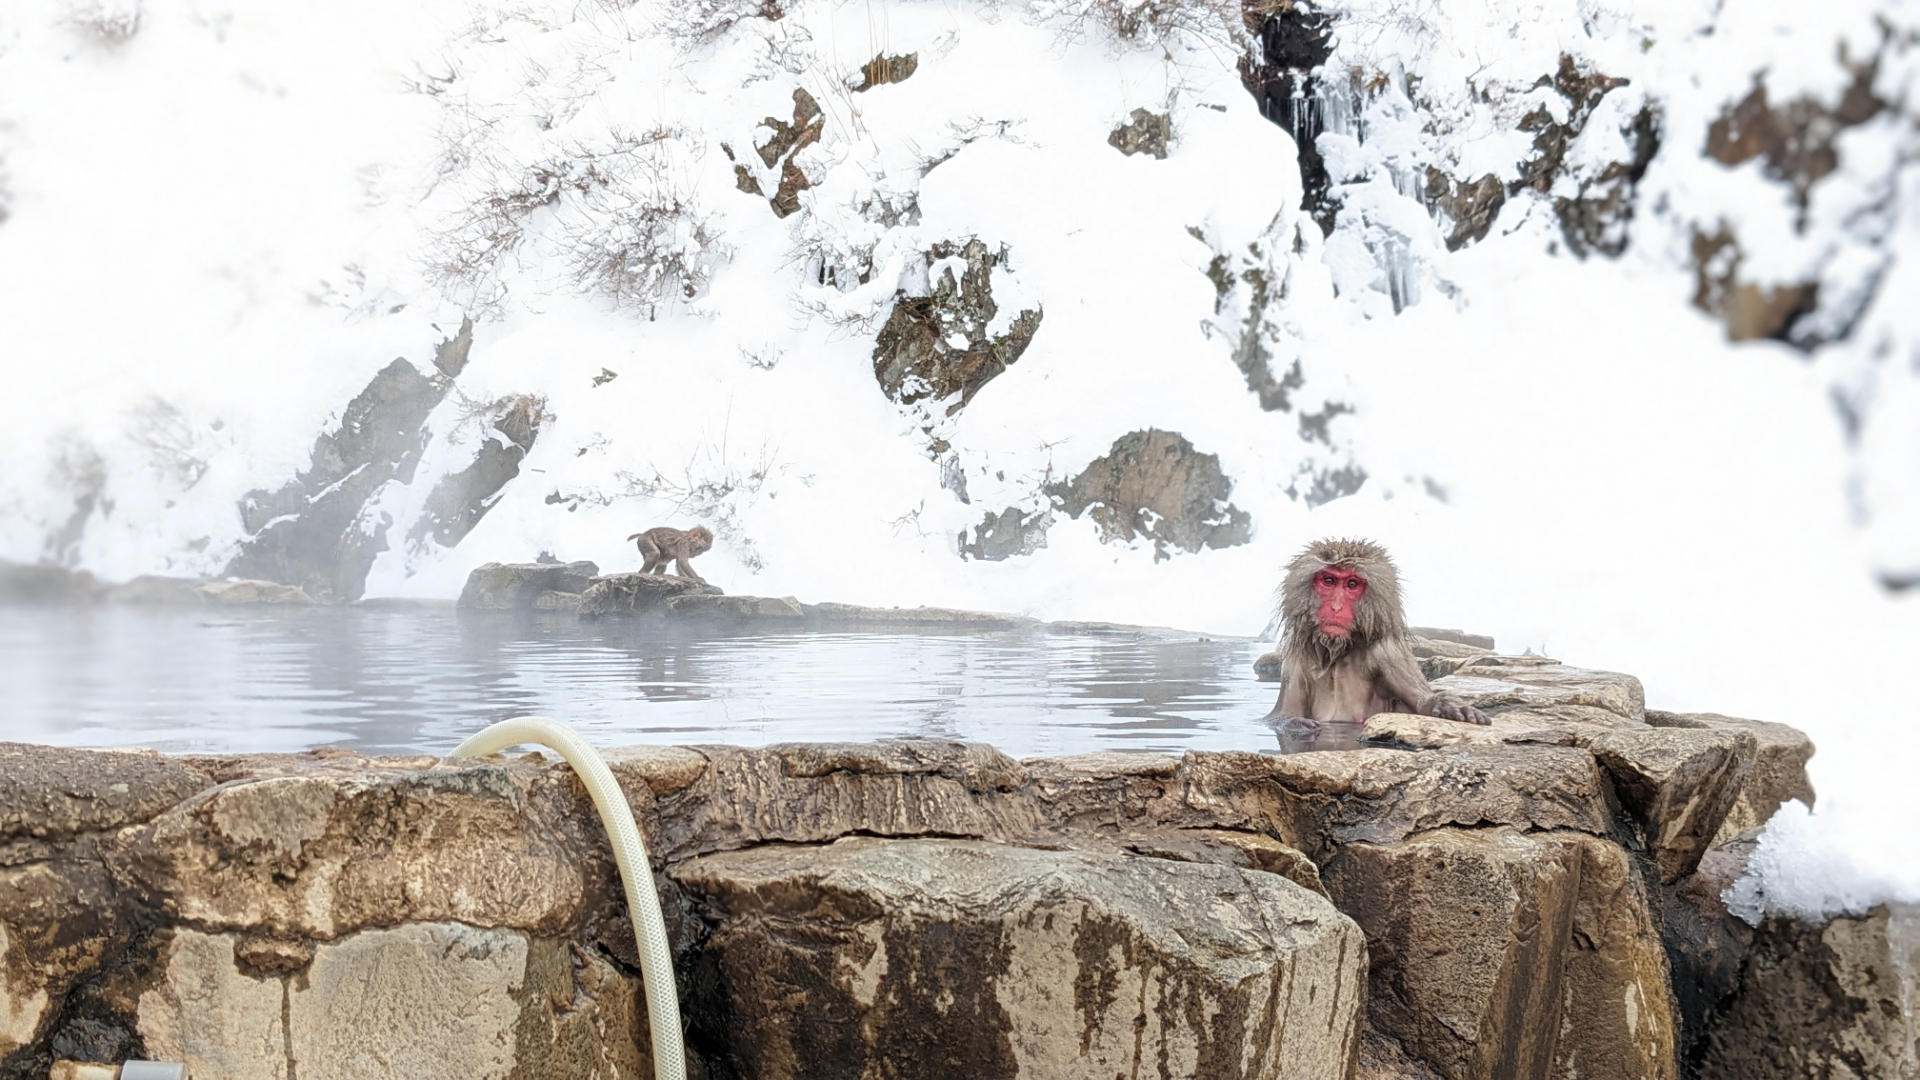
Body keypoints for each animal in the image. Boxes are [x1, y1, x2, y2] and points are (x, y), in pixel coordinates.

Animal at [1267, 534, 1489, 726]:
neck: (1339, 653)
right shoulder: (1296, 658)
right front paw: (1294, 723)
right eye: (1329, 581)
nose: (1336, 607)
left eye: (1352, 584)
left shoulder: (1388, 653)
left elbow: (1422, 702)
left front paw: (1446, 704)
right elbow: (1277, 717)